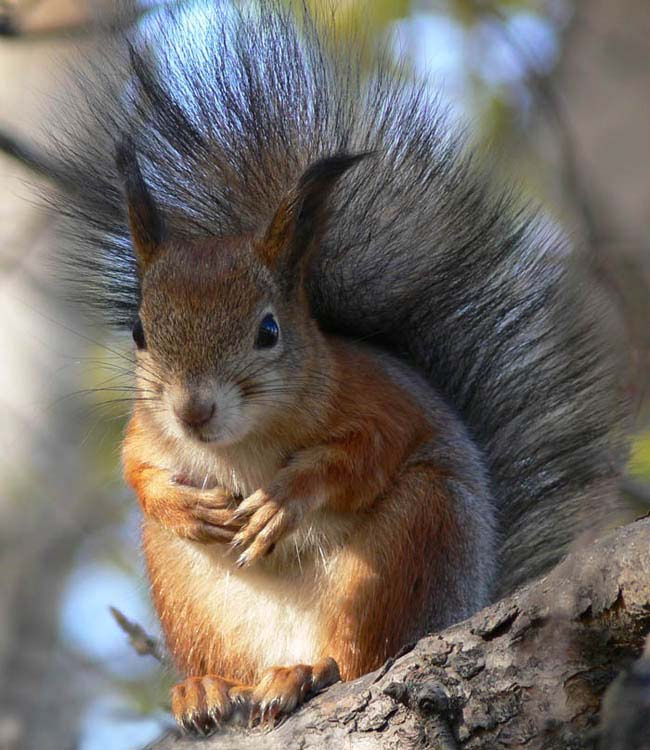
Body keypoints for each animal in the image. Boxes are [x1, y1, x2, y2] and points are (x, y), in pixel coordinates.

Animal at [2, 0, 628, 734]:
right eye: (139, 331)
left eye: (269, 330)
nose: (193, 410)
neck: (242, 442)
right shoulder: (145, 428)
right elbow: (136, 467)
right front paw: (180, 500)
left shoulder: (375, 402)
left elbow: (362, 456)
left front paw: (284, 501)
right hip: (187, 590)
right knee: (229, 661)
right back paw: (208, 688)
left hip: (407, 546)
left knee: (360, 655)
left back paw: (308, 672)